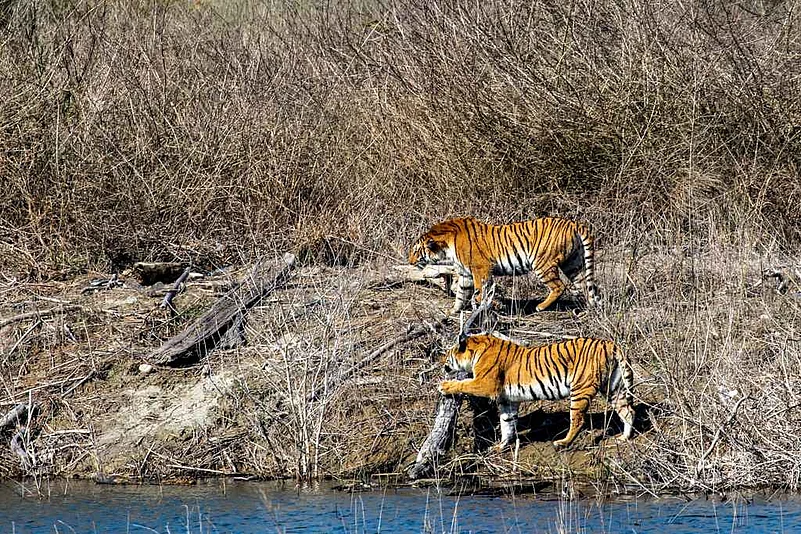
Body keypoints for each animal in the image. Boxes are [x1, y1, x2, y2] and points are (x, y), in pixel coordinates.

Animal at [408, 217, 600, 316]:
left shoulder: (480, 270)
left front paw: (487, 307)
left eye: (416, 251)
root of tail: (574, 223)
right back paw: (587, 309)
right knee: (586, 286)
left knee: (559, 287)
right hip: (574, 264)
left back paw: (540, 307)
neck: (447, 247)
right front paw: (453, 311)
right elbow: (461, 295)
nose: (409, 261)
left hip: (542, 264)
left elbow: (479, 292)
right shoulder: (465, 274)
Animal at [438, 334, 635, 449]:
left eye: (447, 354)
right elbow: (507, 423)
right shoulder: (507, 400)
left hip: (580, 389)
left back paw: (562, 443)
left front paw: (444, 386)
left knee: (578, 420)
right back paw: (624, 438)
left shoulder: (485, 383)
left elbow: (463, 383)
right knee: (628, 411)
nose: (441, 361)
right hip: (613, 388)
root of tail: (611, 344)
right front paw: (501, 446)